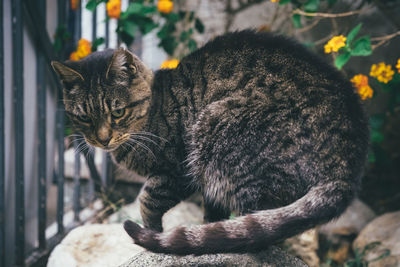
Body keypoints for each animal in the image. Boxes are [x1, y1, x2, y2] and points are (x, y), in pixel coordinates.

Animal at [52, 30, 368, 256]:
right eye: (84, 117)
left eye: (117, 112)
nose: (102, 138)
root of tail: (347, 165)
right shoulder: (205, 185)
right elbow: (212, 210)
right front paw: (202, 231)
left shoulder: (178, 170)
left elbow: (148, 201)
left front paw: (152, 234)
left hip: (218, 134)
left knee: (261, 226)